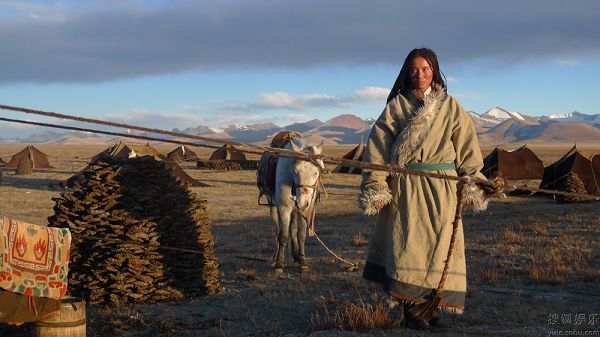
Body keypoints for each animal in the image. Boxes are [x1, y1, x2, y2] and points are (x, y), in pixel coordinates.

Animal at [258, 137, 324, 272]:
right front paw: (279, 264)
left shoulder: (304, 210)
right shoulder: (284, 208)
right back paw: (275, 257)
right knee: (278, 230)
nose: (302, 202)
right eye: (295, 171)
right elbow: (283, 235)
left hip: (294, 210)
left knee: (292, 228)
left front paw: (302, 260)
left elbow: (301, 234)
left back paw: (295, 256)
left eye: (316, 172)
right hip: (274, 207)